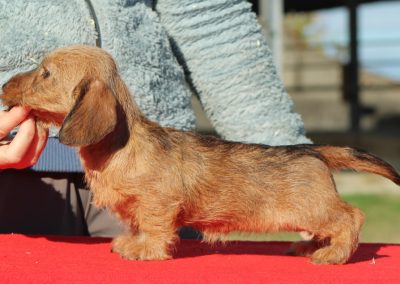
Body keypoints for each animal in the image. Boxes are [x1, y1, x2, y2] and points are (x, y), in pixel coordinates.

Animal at [1, 45, 398, 264]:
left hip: (315, 209)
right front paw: (132, 242)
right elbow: (137, 225)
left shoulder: (158, 203)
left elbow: (154, 226)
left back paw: (333, 254)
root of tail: (312, 150)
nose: (5, 85)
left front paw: (146, 251)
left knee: (351, 217)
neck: (122, 146)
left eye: (45, 73)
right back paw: (310, 248)